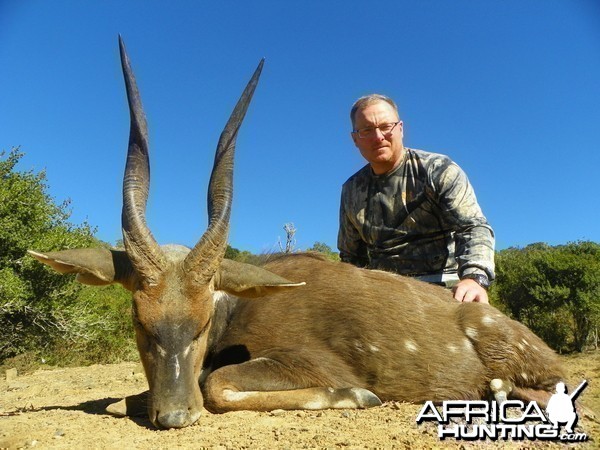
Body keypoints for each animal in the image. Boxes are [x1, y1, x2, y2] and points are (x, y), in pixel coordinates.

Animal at [29, 39, 564, 428]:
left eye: (202, 325)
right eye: (140, 323)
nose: (175, 416)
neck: (237, 308)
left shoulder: (306, 362)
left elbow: (215, 384)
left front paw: (360, 395)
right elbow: (120, 399)